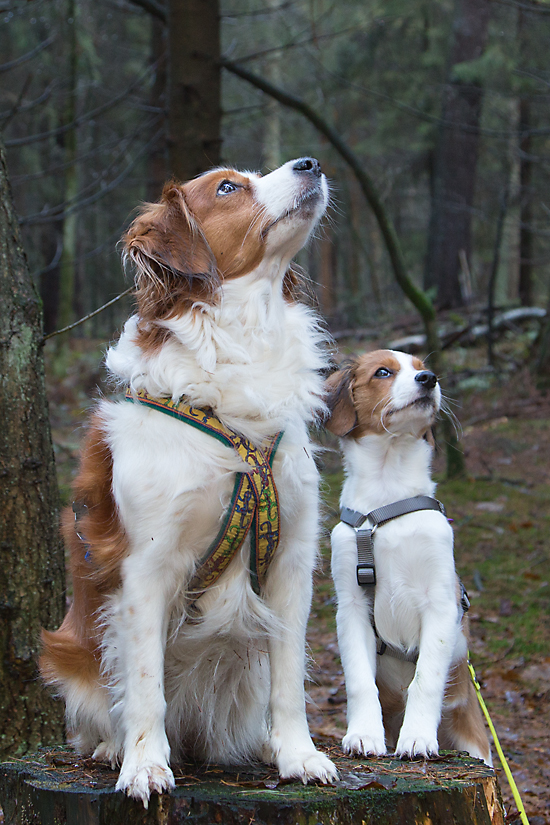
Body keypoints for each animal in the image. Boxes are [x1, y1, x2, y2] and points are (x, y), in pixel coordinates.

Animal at [40, 159, 336, 804]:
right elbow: (145, 684)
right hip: (73, 648)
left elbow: (289, 678)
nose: (311, 164)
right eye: (228, 187)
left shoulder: (292, 562)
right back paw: (110, 748)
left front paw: (298, 755)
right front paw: (145, 766)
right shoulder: (144, 567)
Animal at [328, 350, 492, 764]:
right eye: (383, 372)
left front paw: (417, 737)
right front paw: (363, 735)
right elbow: (359, 682)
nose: (429, 378)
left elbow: (426, 679)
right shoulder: (351, 605)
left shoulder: (441, 602)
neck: (388, 496)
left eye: (421, 366)